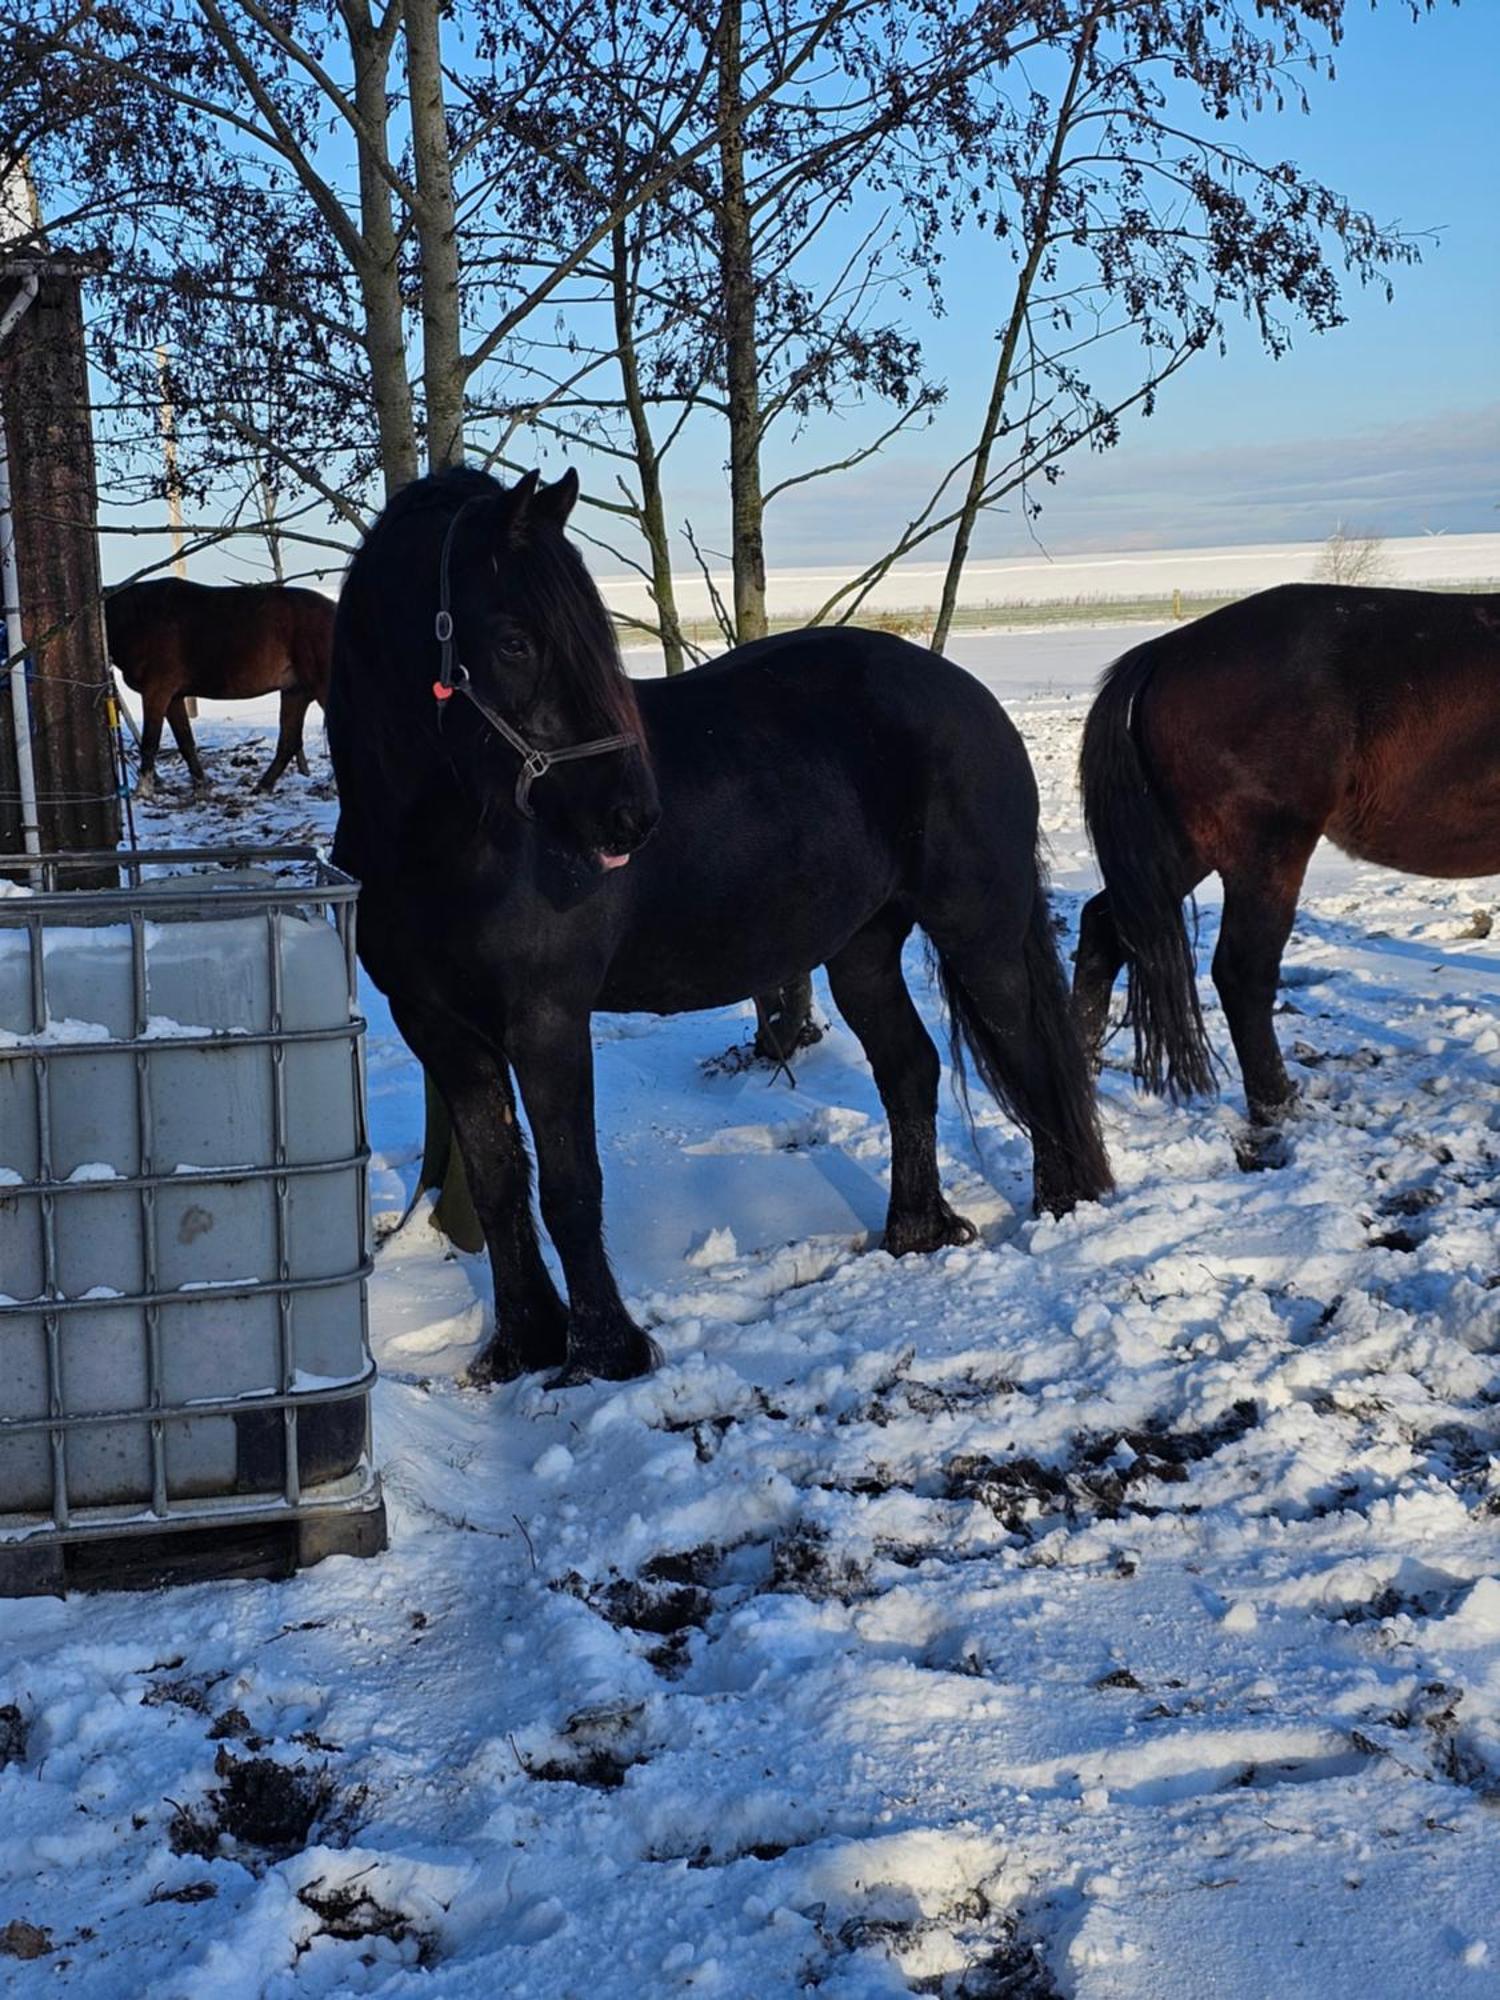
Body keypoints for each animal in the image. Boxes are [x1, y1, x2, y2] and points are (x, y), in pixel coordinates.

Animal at [106, 576, 338, 792]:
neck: (139, 618)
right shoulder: (174, 697)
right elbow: (186, 742)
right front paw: (202, 782)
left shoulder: (157, 692)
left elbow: (149, 743)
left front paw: (143, 791)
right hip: (295, 692)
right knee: (288, 742)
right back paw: (262, 787)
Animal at [326, 464, 1104, 1392]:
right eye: (514, 641)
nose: (632, 818)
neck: (447, 841)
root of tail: (972, 700)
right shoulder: (440, 1028)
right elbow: (498, 1181)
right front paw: (518, 1349)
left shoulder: (547, 1020)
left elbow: (570, 1186)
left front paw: (606, 1353)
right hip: (862, 949)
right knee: (910, 1070)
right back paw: (915, 1233)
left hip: (977, 931)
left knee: (1028, 1057)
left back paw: (1063, 1210)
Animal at [1072, 584, 1500, 1128]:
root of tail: (1164, 653)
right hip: (1265, 852)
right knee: (1243, 971)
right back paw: (1279, 1107)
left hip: (1186, 848)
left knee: (1105, 930)